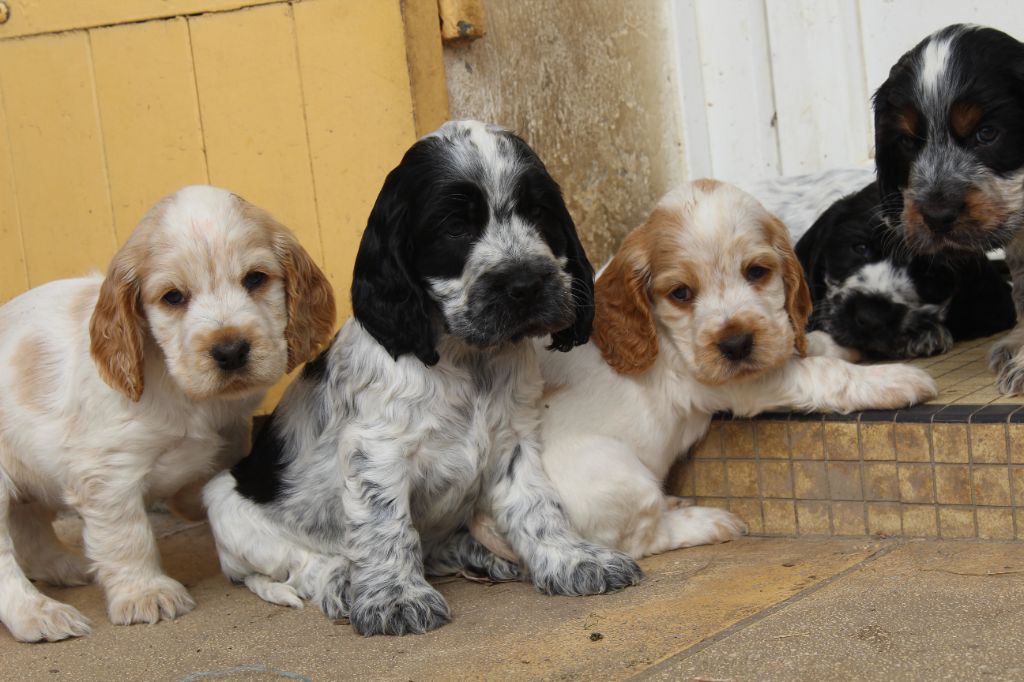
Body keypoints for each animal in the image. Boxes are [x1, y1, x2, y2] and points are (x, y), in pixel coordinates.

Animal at [0, 184, 335, 638]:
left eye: (256, 279)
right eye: (173, 297)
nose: (231, 350)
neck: (184, 391)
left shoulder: (230, 433)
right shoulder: (107, 473)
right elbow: (128, 538)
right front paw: (146, 594)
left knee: (30, 526)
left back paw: (68, 566)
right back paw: (39, 613)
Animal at [199, 119, 638, 634]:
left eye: (538, 212)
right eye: (454, 227)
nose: (526, 285)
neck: (467, 358)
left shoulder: (516, 438)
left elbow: (537, 505)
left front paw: (574, 560)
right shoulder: (377, 451)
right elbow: (386, 527)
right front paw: (394, 599)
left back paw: (478, 553)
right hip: (228, 508)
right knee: (305, 563)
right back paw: (344, 581)